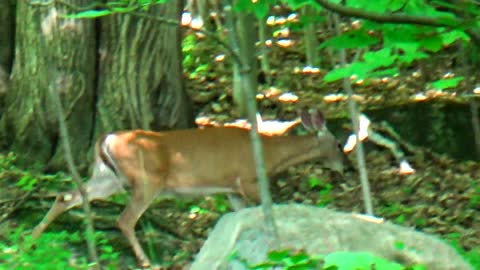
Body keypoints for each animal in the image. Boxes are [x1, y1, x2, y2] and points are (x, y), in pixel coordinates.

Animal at [32, 108, 348, 266]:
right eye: (337, 144)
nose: (347, 167)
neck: (270, 155)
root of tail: (105, 138)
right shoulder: (249, 181)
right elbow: (271, 208)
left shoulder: (231, 190)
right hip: (147, 180)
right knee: (125, 219)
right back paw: (146, 261)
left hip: (107, 177)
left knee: (67, 195)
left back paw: (31, 238)